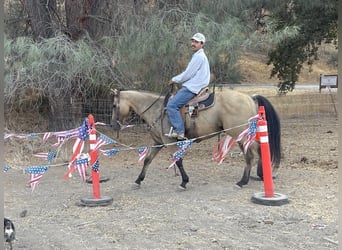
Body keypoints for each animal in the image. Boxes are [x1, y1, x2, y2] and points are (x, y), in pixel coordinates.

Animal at [111, 86, 282, 189]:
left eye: (113, 105)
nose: (113, 125)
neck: (158, 109)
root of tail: (250, 97)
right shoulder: (158, 142)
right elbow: (147, 160)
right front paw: (138, 180)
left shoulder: (169, 142)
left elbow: (178, 160)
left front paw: (184, 181)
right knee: (259, 149)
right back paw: (260, 175)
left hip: (240, 134)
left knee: (250, 155)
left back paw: (242, 181)